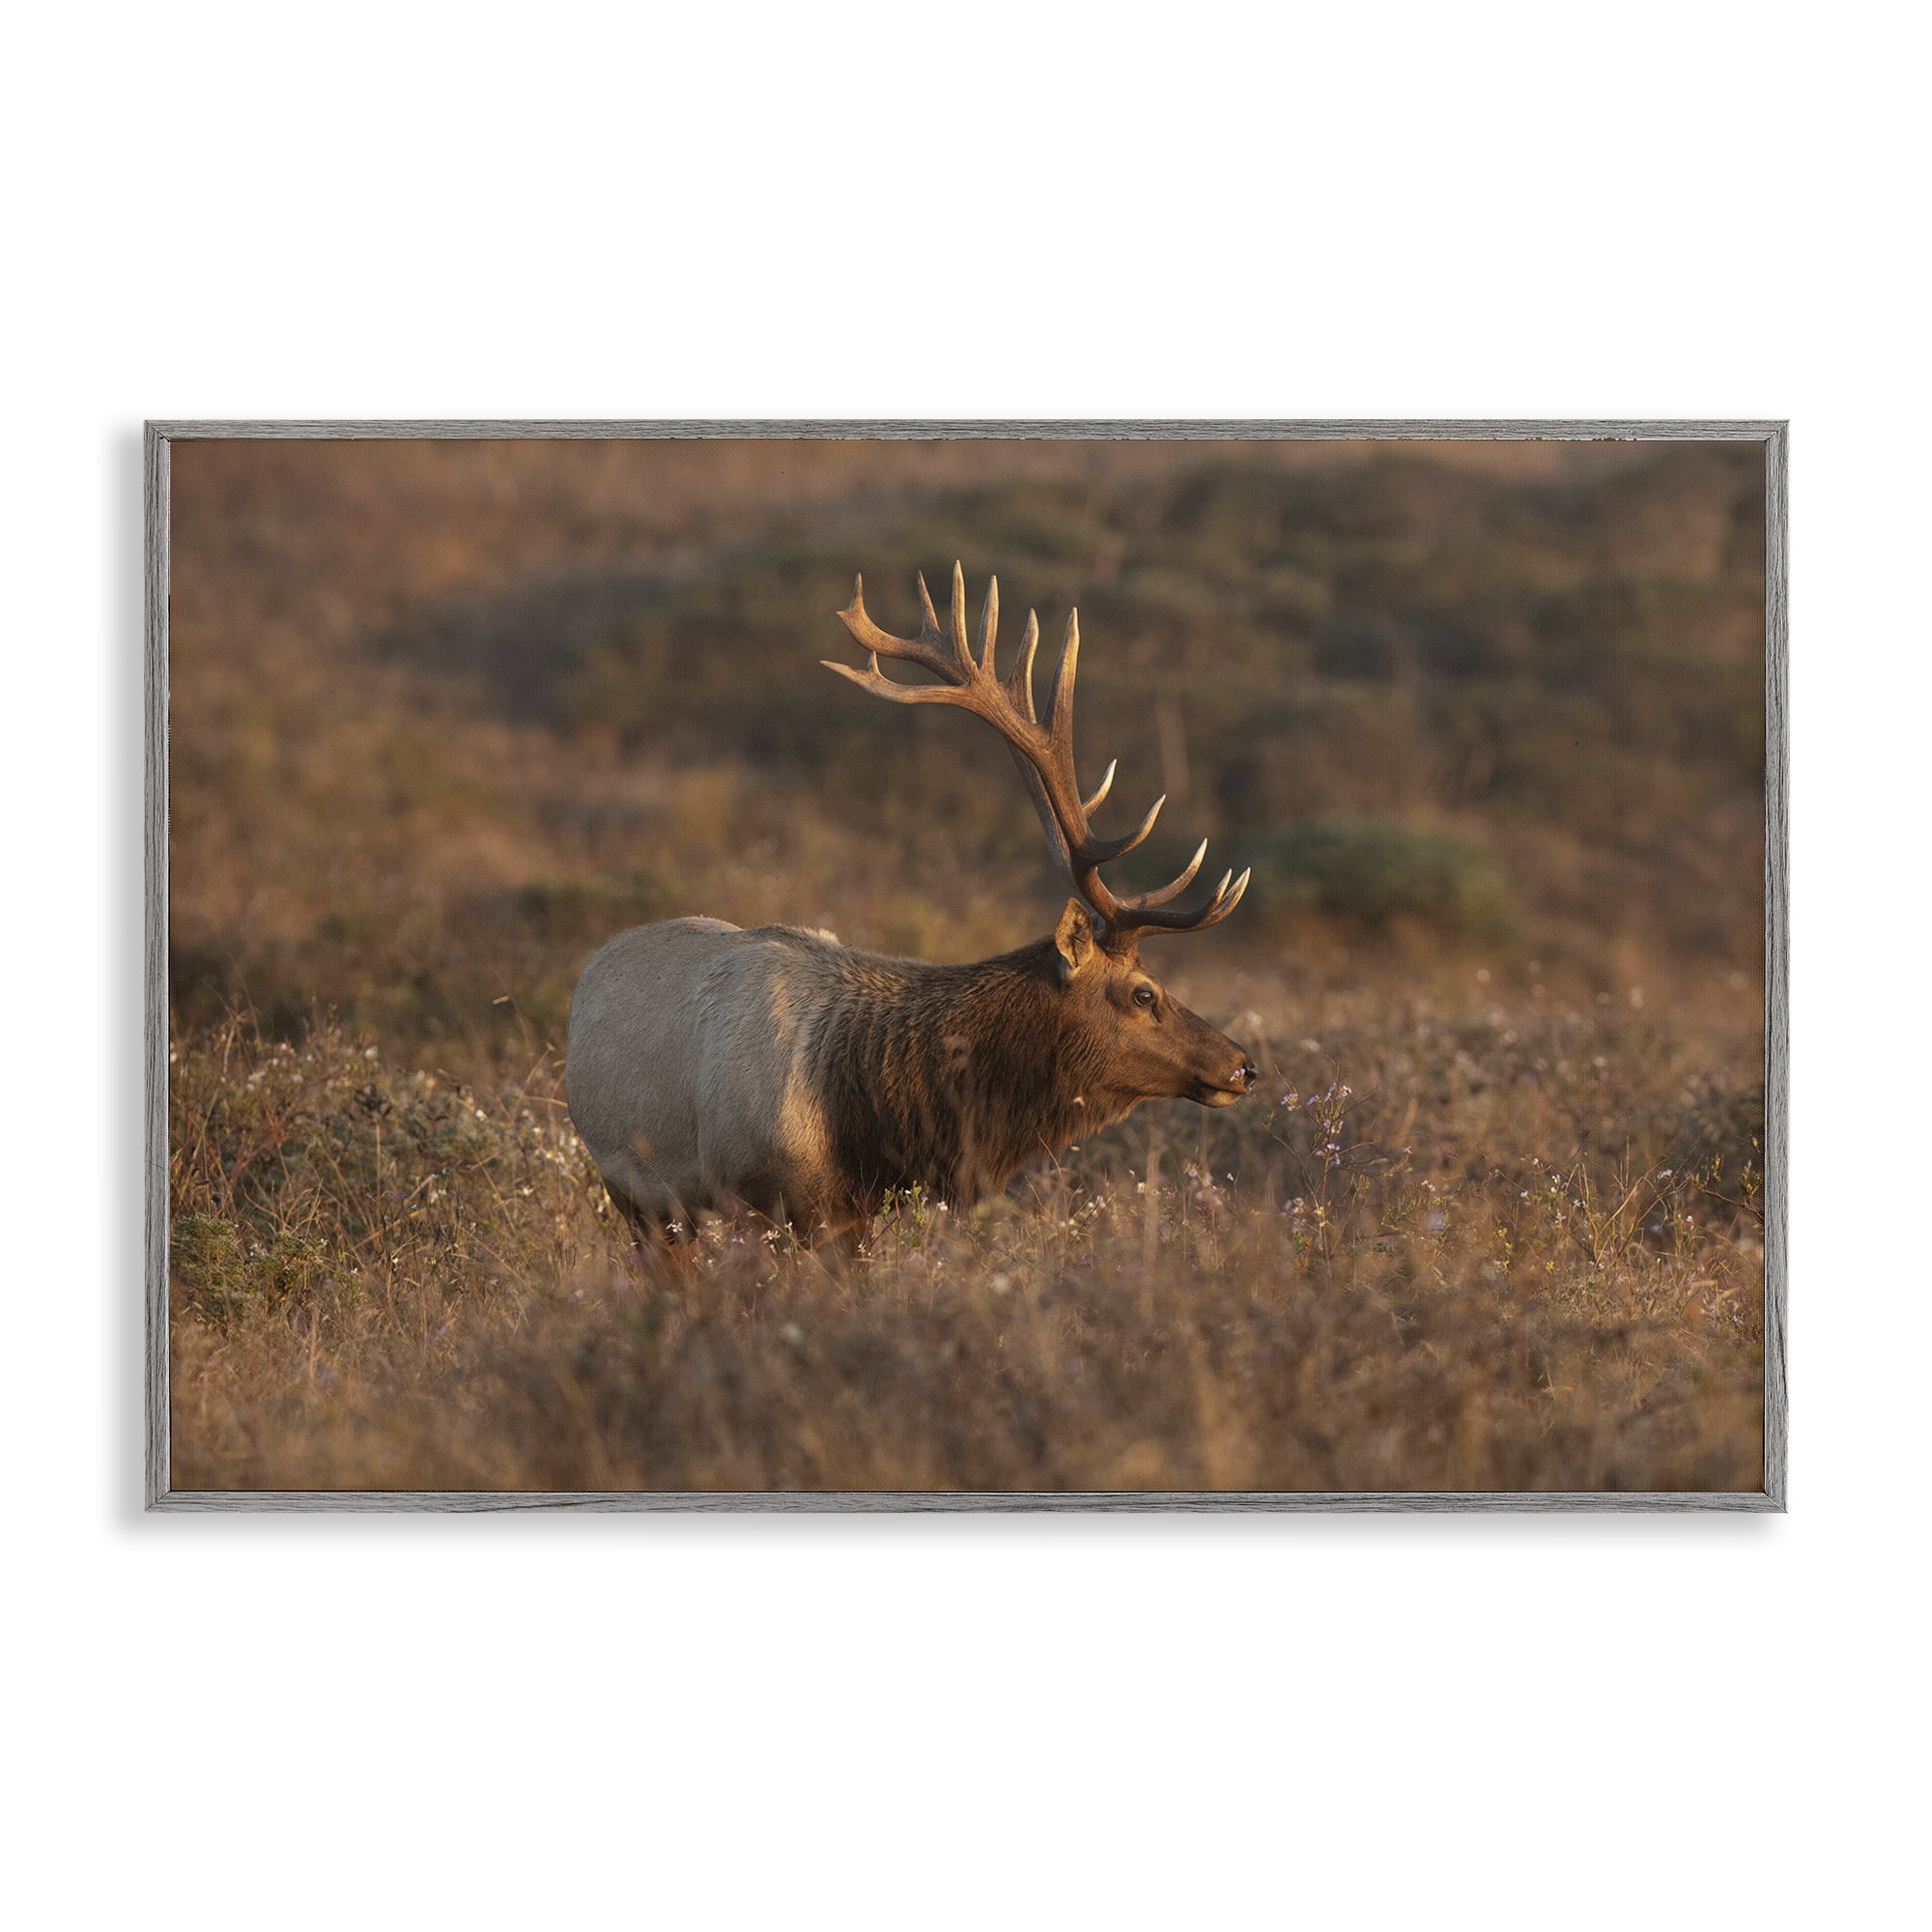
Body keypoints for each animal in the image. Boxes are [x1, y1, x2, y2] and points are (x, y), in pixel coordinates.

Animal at [565, 563, 1256, 1252]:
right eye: (1144, 992)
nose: (1244, 1066)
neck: (862, 1121)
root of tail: (593, 967)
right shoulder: (767, 1201)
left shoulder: (850, 1216)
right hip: (635, 1194)